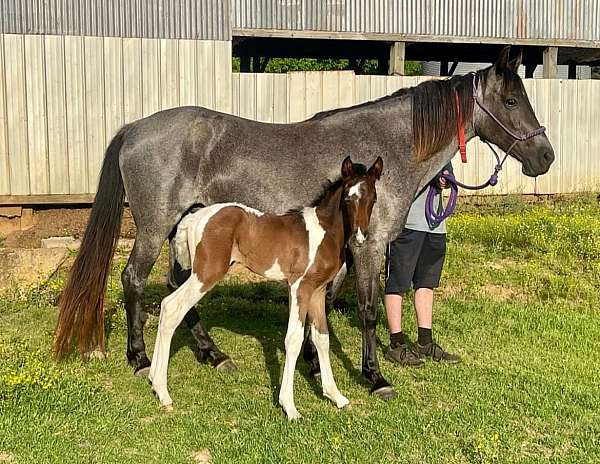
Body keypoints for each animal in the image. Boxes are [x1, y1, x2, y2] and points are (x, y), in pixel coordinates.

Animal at [150, 157, 384, 420]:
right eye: (347, 197)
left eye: (373, 198)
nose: (360, 237)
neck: (324, 232)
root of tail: (196, 217)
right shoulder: (299, 287)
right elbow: (293, 340)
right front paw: (289, 406)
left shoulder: (318, 290)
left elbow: (322, 338)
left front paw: (336, 396)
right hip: (206, 274)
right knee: (173, 308)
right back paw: (163, 392)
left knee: (166, 304)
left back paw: (154, 382)